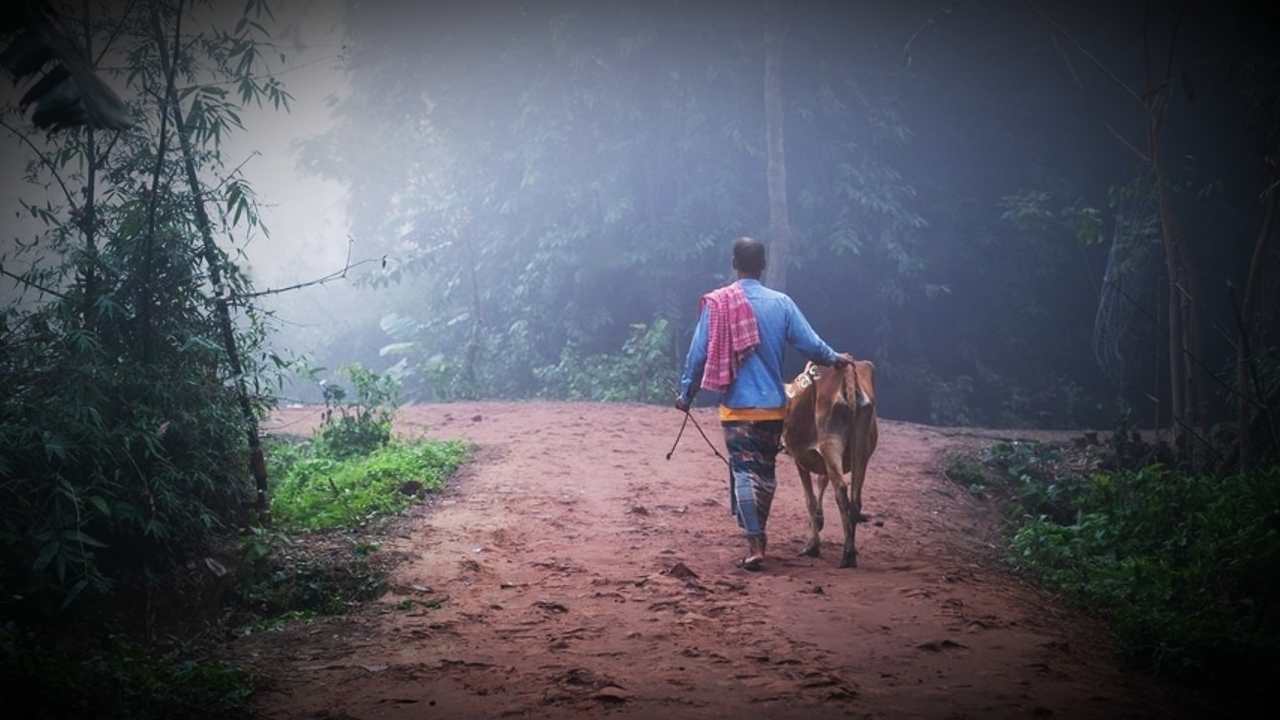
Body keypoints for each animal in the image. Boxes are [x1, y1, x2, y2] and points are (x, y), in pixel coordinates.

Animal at [783, 358, 875, 566]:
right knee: (855, 498)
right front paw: (819, 520)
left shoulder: (801, 459)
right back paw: (851, 550)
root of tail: (847, 370)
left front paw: (812, 546)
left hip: (830, 443)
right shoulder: (821, 462)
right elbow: (821, 482)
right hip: (862, 450)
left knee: (841, 490)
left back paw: (847, 554)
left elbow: (809, 499)